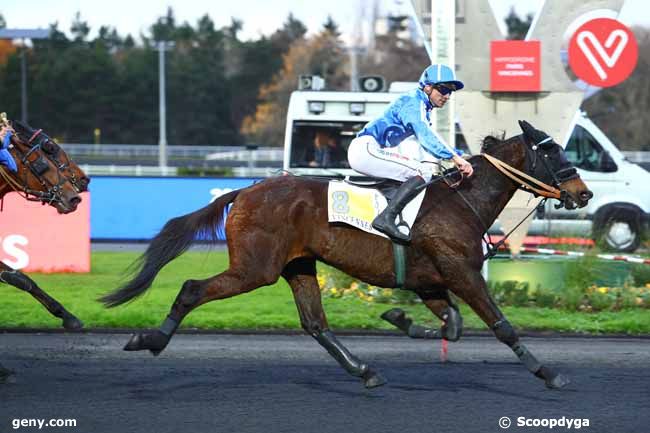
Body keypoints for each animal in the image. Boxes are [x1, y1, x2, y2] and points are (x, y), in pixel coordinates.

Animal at [102, 120, 592, 388]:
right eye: (552, 150)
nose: (583, 193)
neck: (461, 201)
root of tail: (245, 191)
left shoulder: (432, 282)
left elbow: (451, 327)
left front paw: (399, 318)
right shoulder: (462, 273)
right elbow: (501, 327)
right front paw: (549, 373)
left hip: (297, 265)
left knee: (316, 324)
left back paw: (364, 370)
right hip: (255, 268)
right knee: (191, 289)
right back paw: (149, 340)